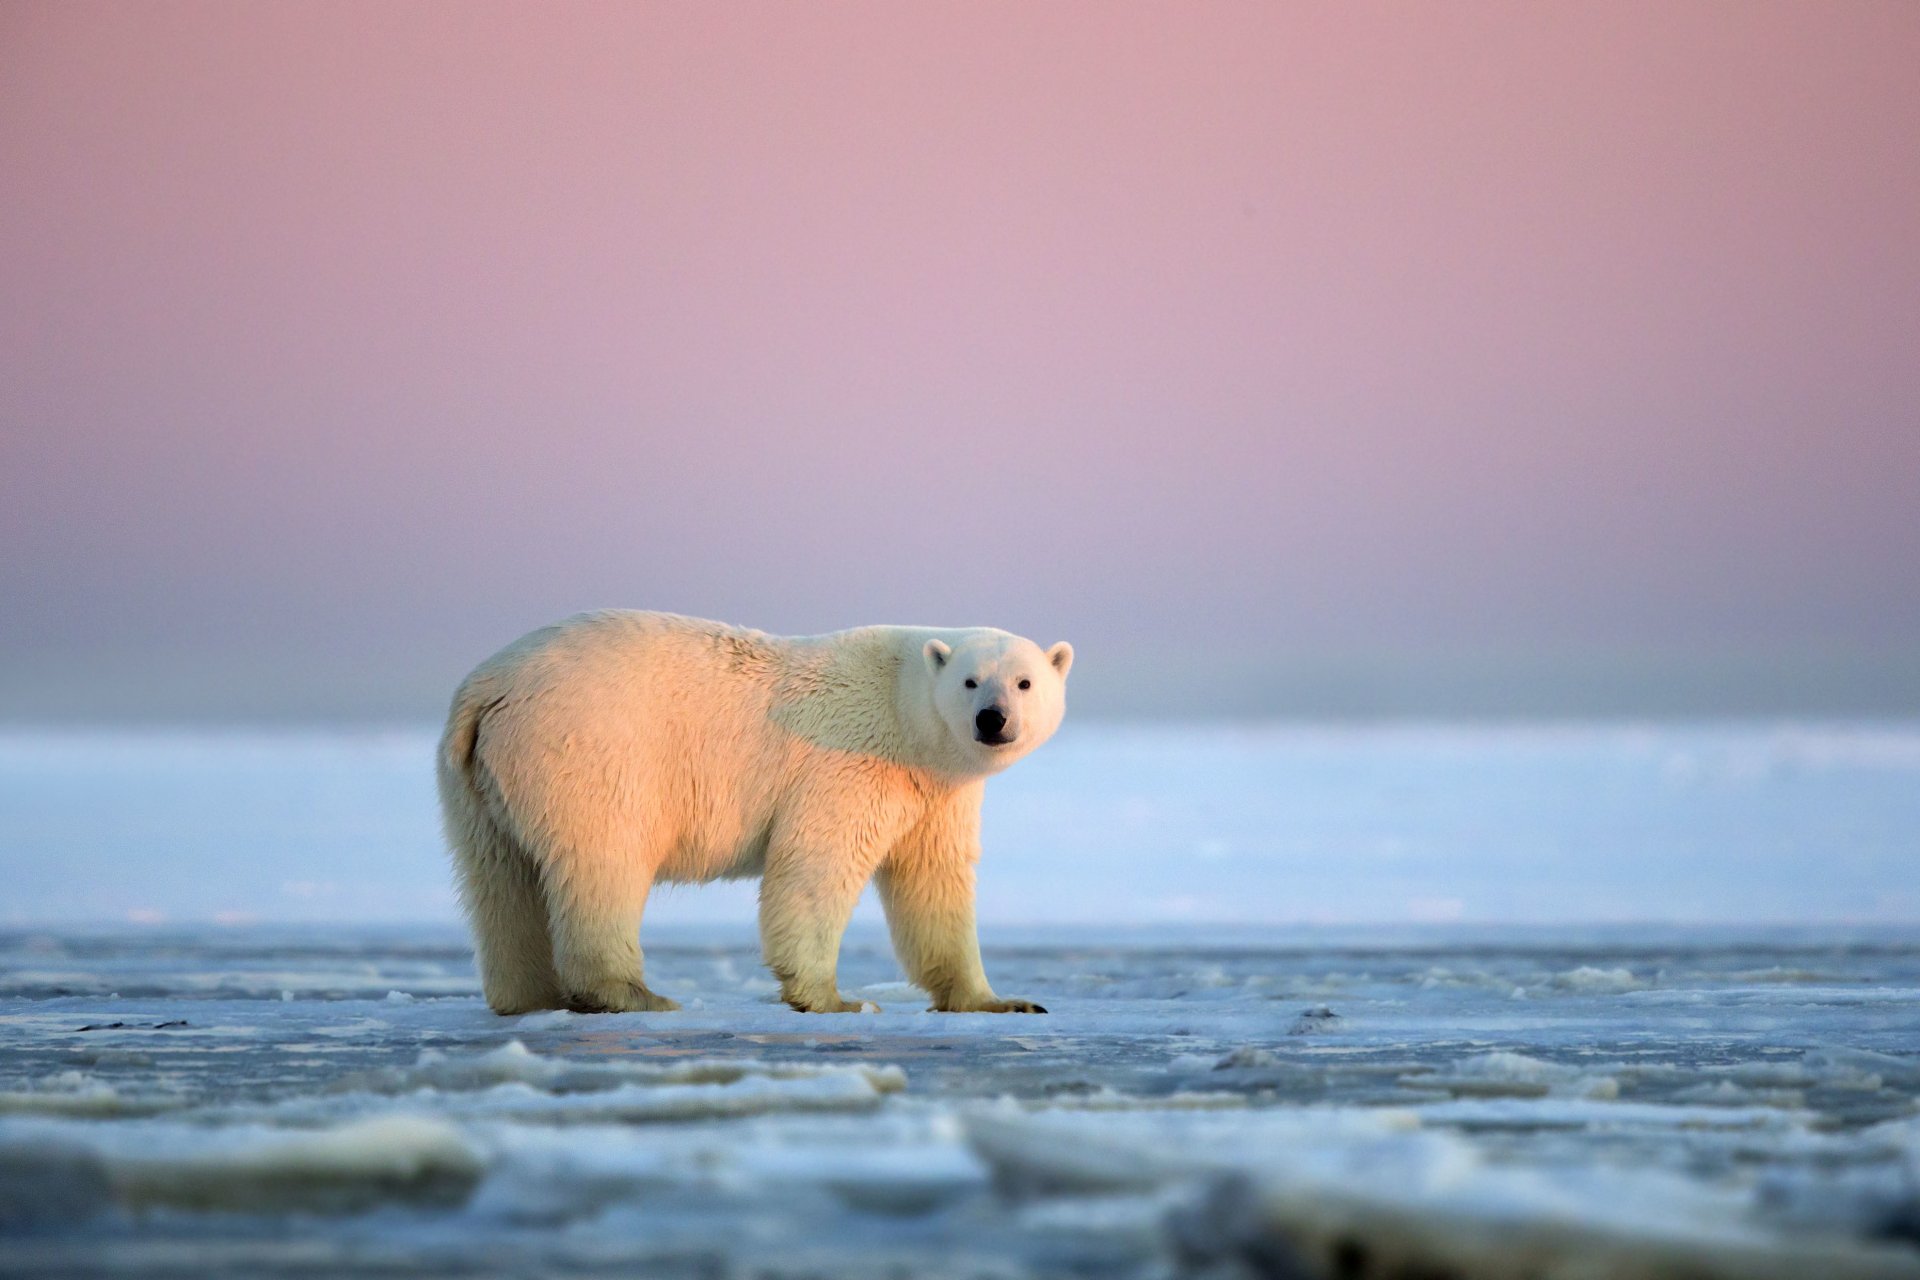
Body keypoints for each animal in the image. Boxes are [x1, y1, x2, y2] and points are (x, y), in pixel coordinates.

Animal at [437, 610, 1072, 1015]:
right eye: (969, 681)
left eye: (1025, 681)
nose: (993, 718)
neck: (903, 709)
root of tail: (485, 688)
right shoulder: (849, 763)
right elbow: (816, 867)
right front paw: (836, 1000)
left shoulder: (935, 793)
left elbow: (934, 884)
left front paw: (1003, 1001)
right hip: (586, 751)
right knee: (603, 863)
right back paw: (633, 994)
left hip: (477, 782)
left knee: (500, 881)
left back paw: (528, 997)